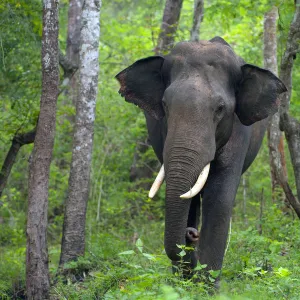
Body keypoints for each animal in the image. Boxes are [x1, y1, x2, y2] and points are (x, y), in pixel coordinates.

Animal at [115, 36, 286, 282]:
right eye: (165, 105)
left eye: (220, 108)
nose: (191, 234)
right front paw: (185, 282)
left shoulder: (238, 131)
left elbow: (220, 197)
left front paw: (206, 284)